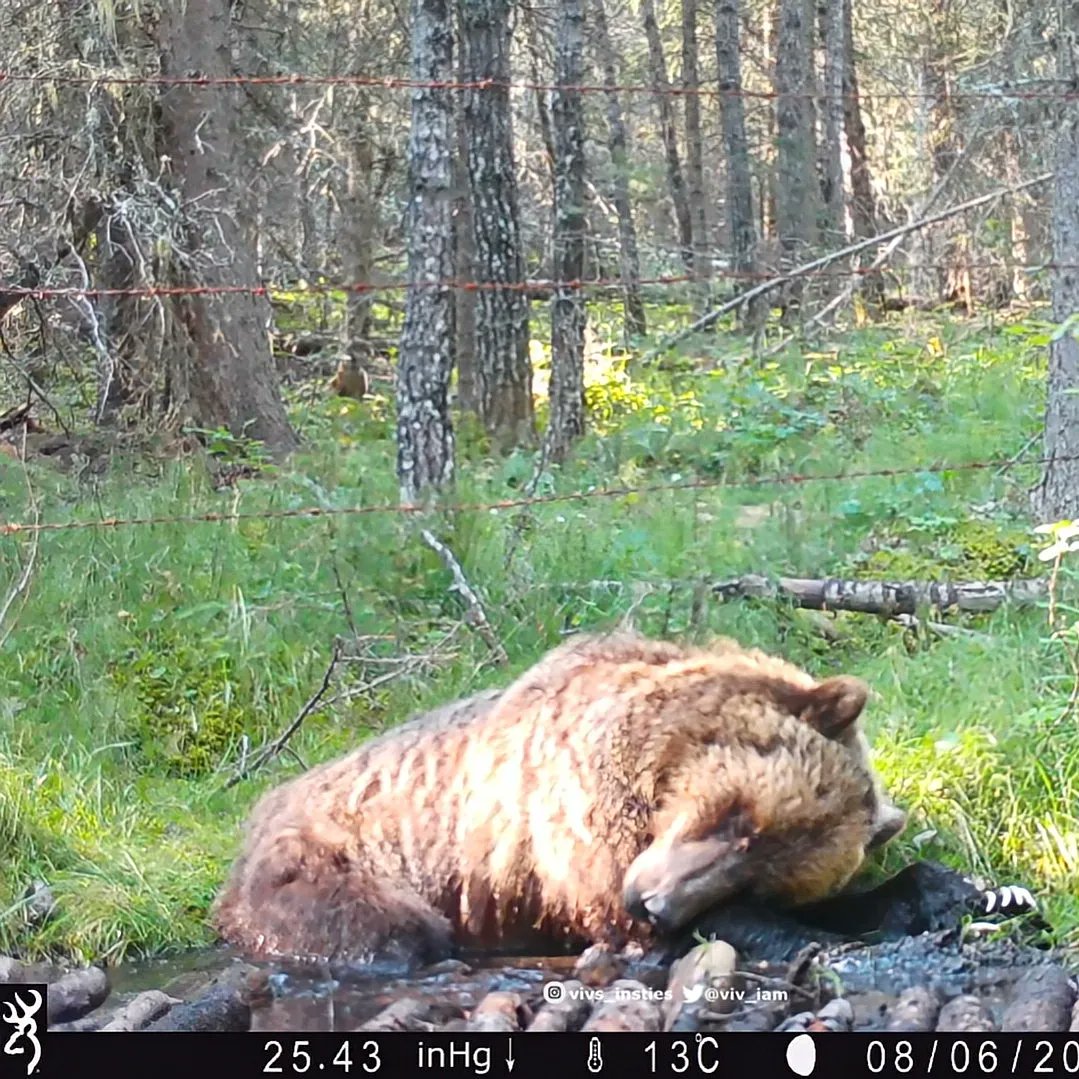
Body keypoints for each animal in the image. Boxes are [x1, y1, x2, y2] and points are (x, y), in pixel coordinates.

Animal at [211, 631, 900, 966]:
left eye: (763, 877)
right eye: (736, 816)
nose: (654, 903)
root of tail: (260, 809)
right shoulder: (573, 814)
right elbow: (611, 902)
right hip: (323, 865)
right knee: (389, 928)